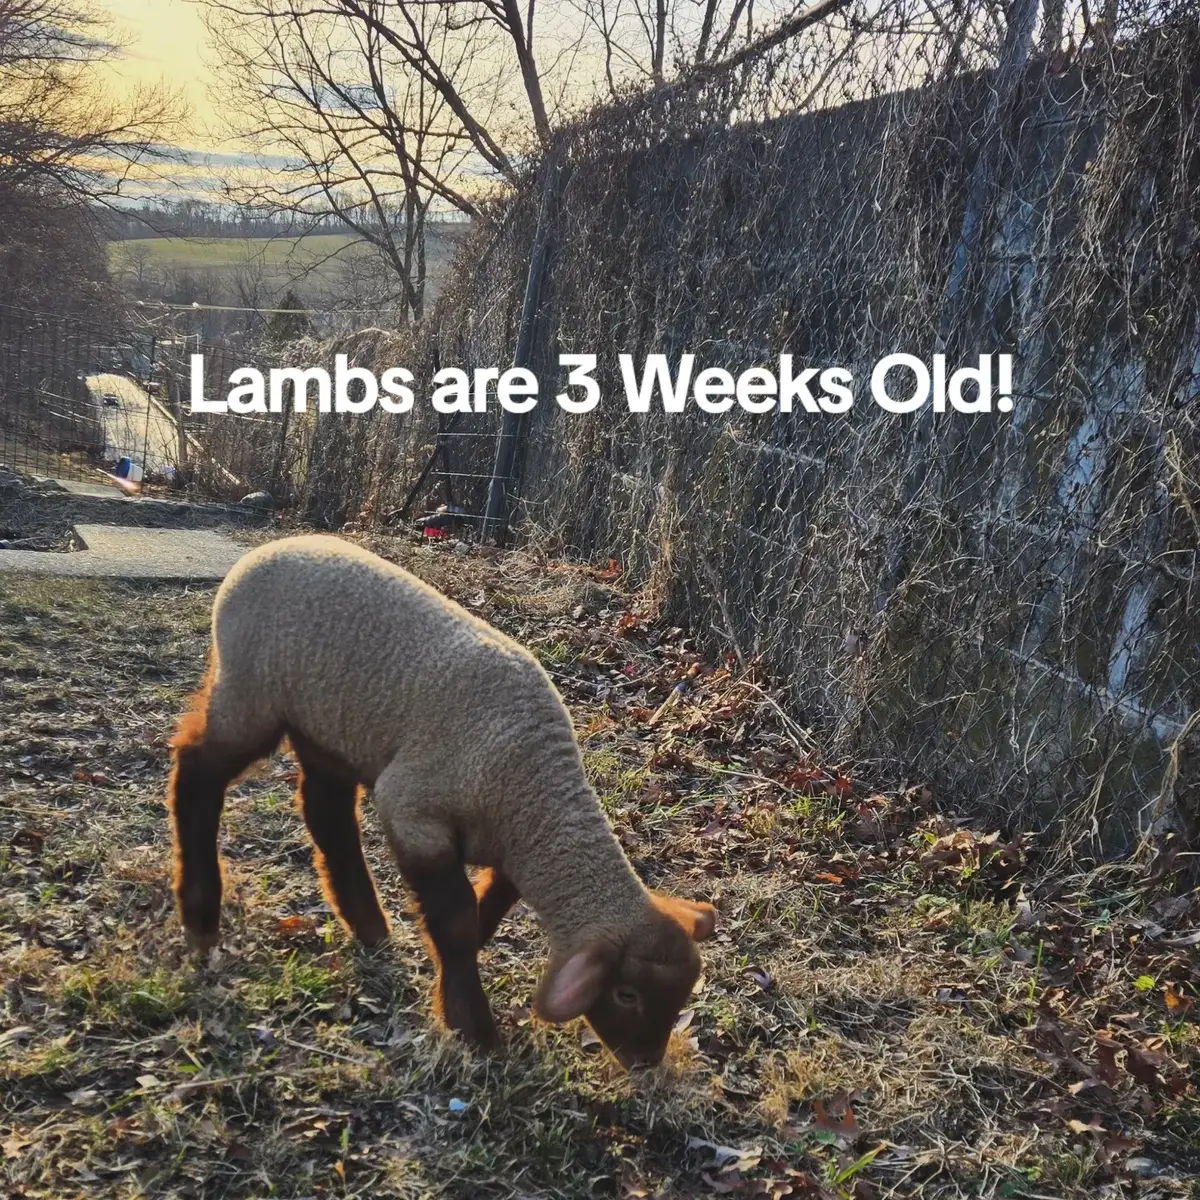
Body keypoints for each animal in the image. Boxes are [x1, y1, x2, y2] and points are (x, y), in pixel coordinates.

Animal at [165, 535, 715, 1070]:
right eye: (627, 995)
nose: (645, 1065)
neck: (535, 797)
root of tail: (264, 550)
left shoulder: (508, 848)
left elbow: (486, 906)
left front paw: (454, 980)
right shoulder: (414, 811)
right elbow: (455, 919)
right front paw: (472, 1026)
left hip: (326, 725)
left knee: (326, 810)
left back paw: (368, 925)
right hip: (249, 692)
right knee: (197, 774)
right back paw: (201, 916)